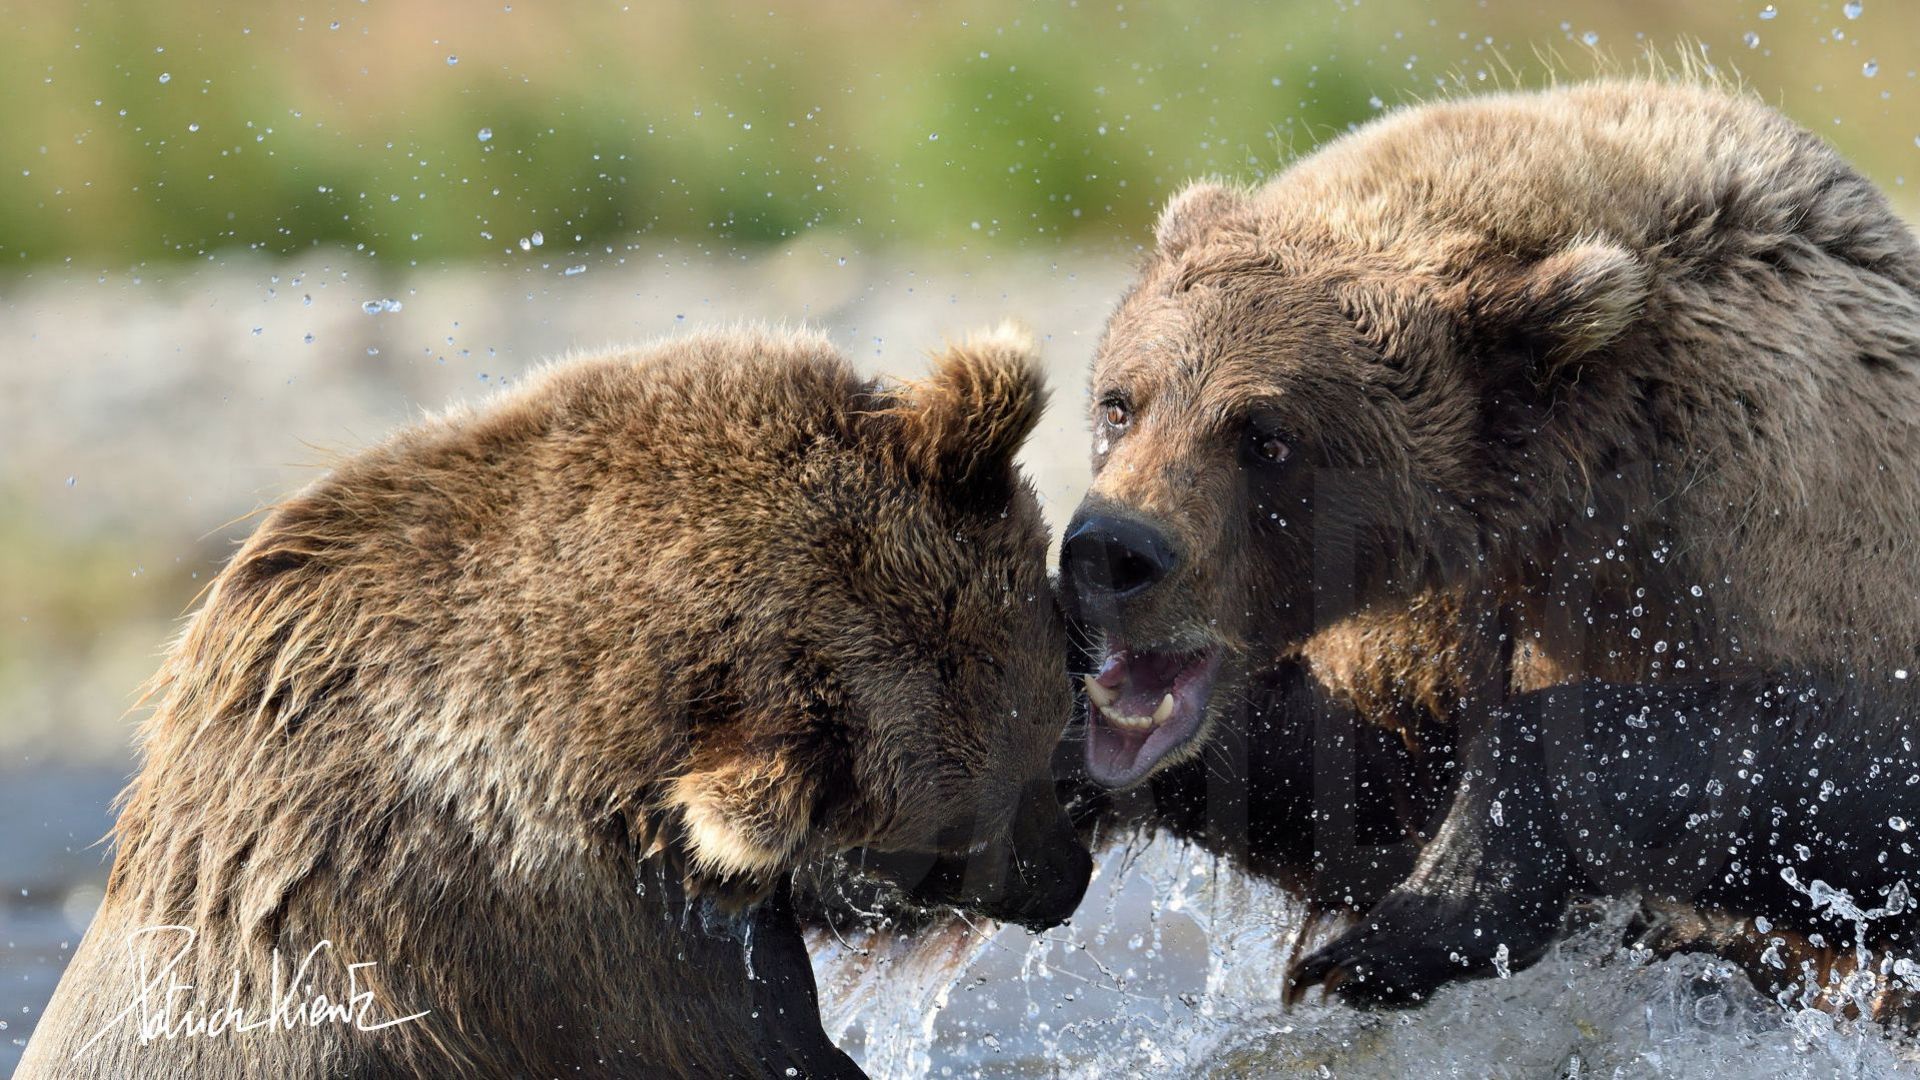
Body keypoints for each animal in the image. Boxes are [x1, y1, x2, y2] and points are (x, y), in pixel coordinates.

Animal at [1059, 79, 1920, 1006]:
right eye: (1121, 402)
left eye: (1267, 436)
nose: (1113, 550)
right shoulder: (1437, 620)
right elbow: (1354, 786)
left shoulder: (1769, 517)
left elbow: (1825, 757)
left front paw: (1410, 924)